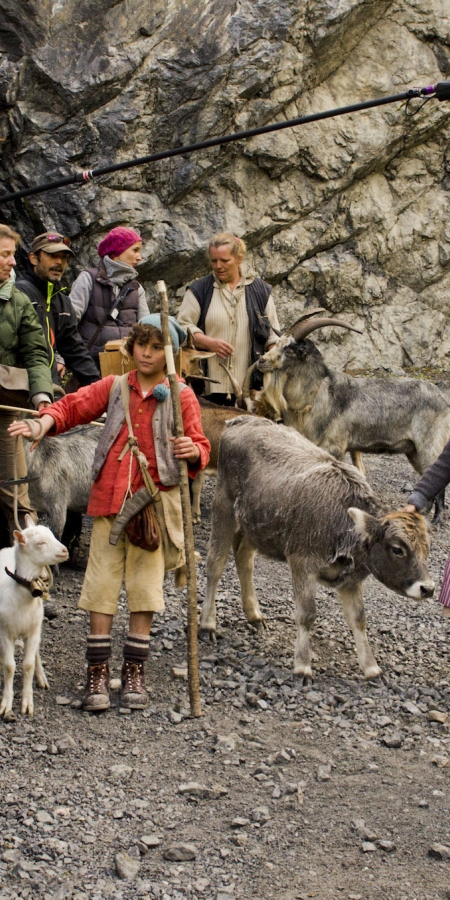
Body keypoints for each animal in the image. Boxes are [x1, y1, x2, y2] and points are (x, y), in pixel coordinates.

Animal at [0, 512, 68, 716]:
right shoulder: (5, 632)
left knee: (36, 652)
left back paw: (41, 677)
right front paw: (6, 703)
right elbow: (10, 666)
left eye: (52, 535)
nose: (65, 550)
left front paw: (27, 702)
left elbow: (28, 664)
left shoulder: (33, 630)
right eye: (40, 543)